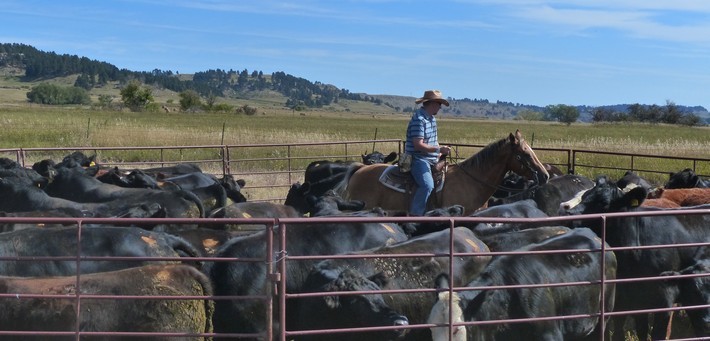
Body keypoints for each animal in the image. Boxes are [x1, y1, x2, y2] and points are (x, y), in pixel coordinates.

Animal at [560, 175, 710, 340]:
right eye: (585, 196)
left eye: (604, 202)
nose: (568, 216)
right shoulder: (626, 298)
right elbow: (635, 329)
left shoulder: (665, 300)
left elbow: (658, 333)